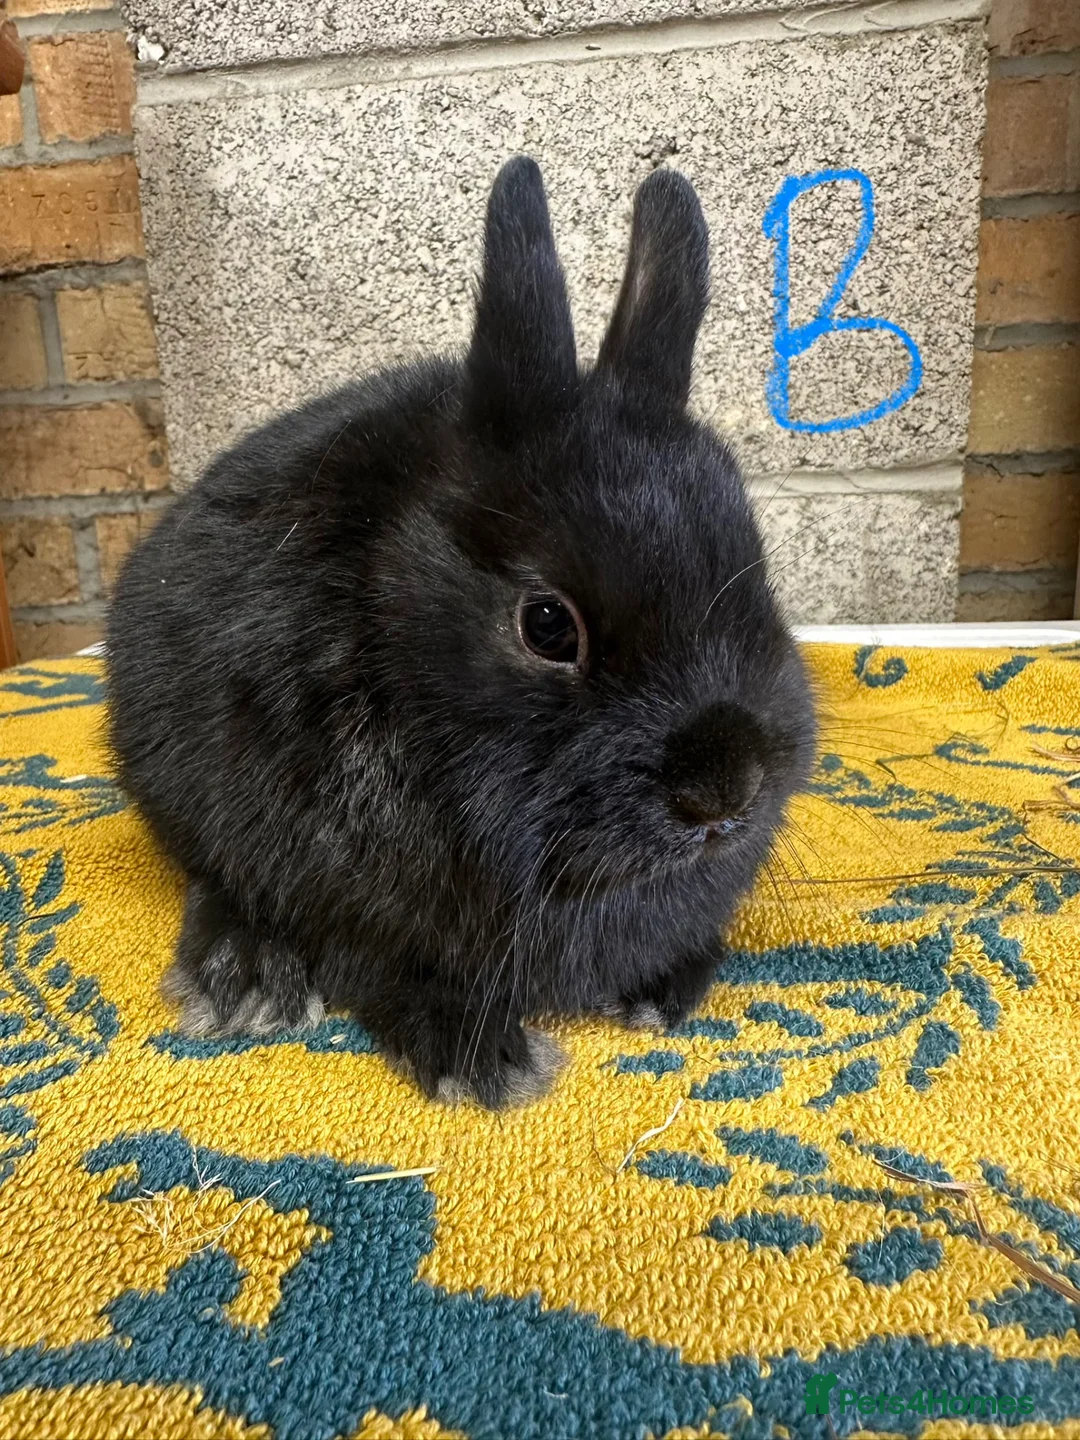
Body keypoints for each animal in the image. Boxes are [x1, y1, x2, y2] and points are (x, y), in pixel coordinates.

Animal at [106, 156, 817, 1109]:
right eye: (548, 625)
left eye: (754, 565)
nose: (725, 792)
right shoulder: (352, 904)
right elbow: (381, 968)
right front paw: (482, 1061)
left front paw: (668, 988)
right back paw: (245, 975)